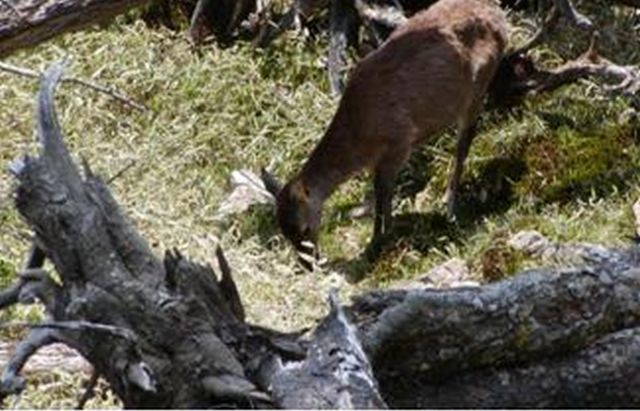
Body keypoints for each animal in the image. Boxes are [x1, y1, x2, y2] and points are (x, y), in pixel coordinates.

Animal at [262, 0, 508, 268]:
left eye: (304, 228)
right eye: (284, 232)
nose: (308, 264)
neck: (360, 138)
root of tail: (500, 21)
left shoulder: (398, 142)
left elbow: (383, 194)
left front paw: (377, 243)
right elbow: (381, 194)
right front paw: (381, 237)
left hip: (477, 89)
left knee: (462, 148)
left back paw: (449, 208)